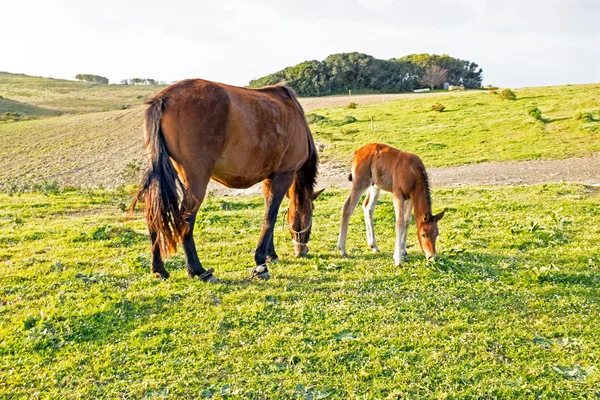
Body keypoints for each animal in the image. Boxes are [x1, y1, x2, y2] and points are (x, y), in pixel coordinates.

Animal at [130, 79, 324, 282]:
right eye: (312, 211)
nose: (302, 251)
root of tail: (163, 99)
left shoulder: (268, 178)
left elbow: (269, 212)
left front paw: (270, 254)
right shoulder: (283, 175)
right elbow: (270, 216)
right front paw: (261, 263)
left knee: (153, 214)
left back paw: (159, 268)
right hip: (196, 180)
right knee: (185, 219)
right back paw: (198, 270)